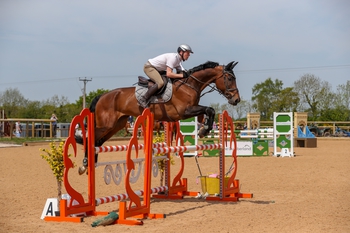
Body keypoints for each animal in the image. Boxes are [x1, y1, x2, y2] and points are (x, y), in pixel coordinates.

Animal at [77, 61, 241, 174]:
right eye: (229, 78)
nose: (236, 100)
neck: (189, 85)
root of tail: (102, 96)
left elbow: (209, 111)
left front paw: (204, 130)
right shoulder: (184, 111)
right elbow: (209, 109)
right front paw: (204, 130)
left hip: (115, 125)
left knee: (98, 141)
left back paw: (91, 164)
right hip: (106, 124)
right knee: (91, 138)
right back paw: (85, 163)